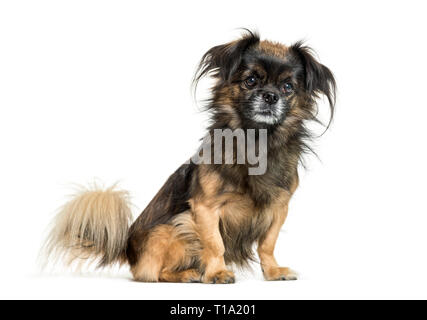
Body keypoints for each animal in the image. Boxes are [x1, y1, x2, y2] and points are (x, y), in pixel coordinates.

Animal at [44, 28, 338, 282]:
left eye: (288, 87)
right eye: (251, 80)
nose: (270, 96)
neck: (257, 141)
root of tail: (128, 248)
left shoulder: (278, 208)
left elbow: (267, 243)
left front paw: (273, 271)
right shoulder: (205, 209)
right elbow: (215, 244)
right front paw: (217, 273)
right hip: (175, 227)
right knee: (156, 273)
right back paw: (189, 274)